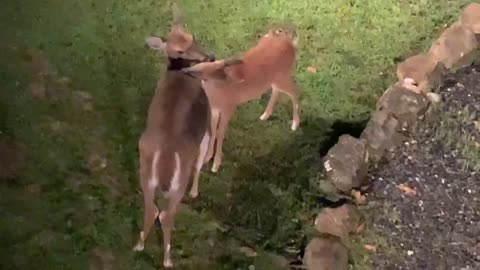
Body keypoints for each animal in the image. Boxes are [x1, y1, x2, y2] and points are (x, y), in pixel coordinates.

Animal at [131, 4, 214, 268]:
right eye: (179, 51)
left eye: (191, 36)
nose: (209, 57)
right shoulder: (206, 122)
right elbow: (202, 159)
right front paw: (196, 191)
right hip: (178, 182)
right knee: (167, 214)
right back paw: (168, 259)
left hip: (144, 172)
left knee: (152, 210)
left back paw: (139, 245)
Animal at [181, 25, 298, 173]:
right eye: (202, 64)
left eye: (216, 72)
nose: (187, 70)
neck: (217, 94)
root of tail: (291, 43)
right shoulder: (214, 108)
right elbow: (213, 130)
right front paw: (207, 158)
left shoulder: (229, 107)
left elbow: (220, 132)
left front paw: (216, 164)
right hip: (274, 79)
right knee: (277, 90)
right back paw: (265, 115)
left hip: (283, 75)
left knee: (295, 92)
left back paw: (295, 124)